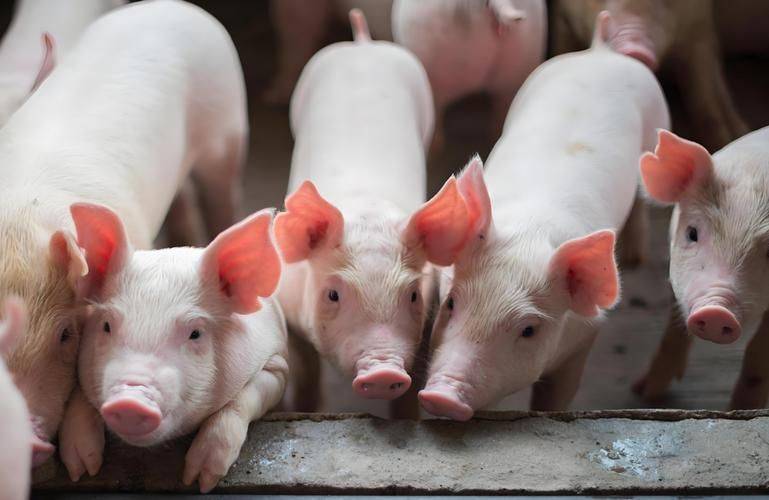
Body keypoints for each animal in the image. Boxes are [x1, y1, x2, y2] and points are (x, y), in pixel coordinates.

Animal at [0, 0, 246, 466]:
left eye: (65, 334)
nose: (27, 444)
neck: (19, 223)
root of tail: (169, 7)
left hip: (227, 130)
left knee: (220, 190)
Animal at [58, 204, 286, 493]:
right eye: (107, 325)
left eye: (195, 333)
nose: (130, 401)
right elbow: (80, 396)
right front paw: (82, 472)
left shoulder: (277, 365)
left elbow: (240, 401)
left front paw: (199, 480)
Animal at [274, 10, 461, 413]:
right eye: (332, 294)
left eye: (413, 295)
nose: (383, 371)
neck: (367, 212)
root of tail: (362, 43)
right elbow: (306, 369)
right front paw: (306, 409)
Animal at [418, 12, 670, 420]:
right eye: (452, 302)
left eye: (529, 329)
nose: (441, 396)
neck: (530, 231)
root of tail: (601, 51)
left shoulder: (585, 335)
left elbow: (556, 395)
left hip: (657, 125)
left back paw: (634, 257)